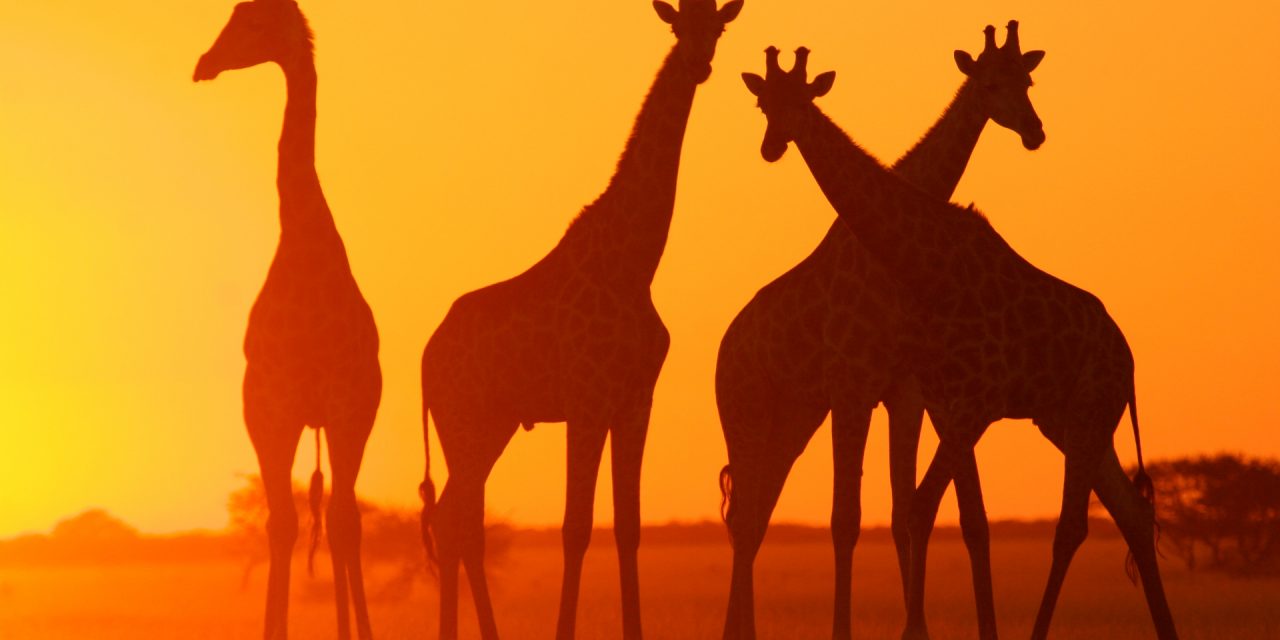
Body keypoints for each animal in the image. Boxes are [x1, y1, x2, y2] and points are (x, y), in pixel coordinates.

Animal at [194, 2, 381, 639]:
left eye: (253, 23)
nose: (204, 63)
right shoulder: (270, 407)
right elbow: (281, 525)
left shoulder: (349, 405)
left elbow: (347, 522)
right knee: (306, 516)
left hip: (340, 418)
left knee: (340, 517)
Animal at [417, 2, 743, 639]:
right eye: (678, 27)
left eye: (717, 27)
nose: (699, 64)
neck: (635, 262)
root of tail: (425, 357)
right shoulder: (588, 401)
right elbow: (575, 526)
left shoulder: (636, 401)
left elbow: (628, 526)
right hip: (461, 420)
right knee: (454, 519)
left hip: (490, 425)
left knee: (456, 517)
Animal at [718, 23, 1044, 640]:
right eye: (762, 103)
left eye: (1026, 81)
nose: (1035, 132)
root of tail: (723, 351)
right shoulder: (854, 387)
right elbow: (847, 517)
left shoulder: (904, 389)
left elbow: (901, 511)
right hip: (744, 415)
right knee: (745, 518)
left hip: (792, 420)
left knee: (755, 514)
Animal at [741, 43, 1178, 640]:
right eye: (764, 104)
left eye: (800, 102)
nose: (771, 146)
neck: (928, 269)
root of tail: (1127, 356)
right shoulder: (942, 403)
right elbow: (930, 513)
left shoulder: (965, 404)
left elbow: (923, 510)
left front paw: (916, 630)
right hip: (1069, 422)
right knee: (1129, 512)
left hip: (1088, 413)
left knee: (1077, 525)